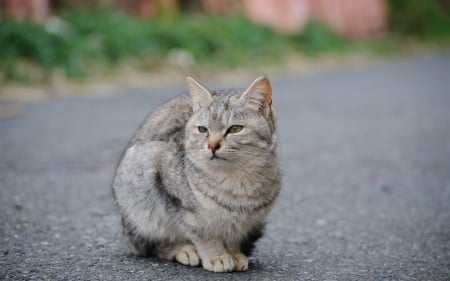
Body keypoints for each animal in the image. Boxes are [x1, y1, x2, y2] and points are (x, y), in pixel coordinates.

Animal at [112, 75, 282, 272]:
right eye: (203, 129)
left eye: (235, 129)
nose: (213, 145)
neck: (237, 179)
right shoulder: (182, 206)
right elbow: (204, 235)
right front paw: (217, 256)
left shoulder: (245, 221)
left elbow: (233, 235)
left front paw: (234, 253)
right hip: (140, 208)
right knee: (151, 245)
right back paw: (183, 250)